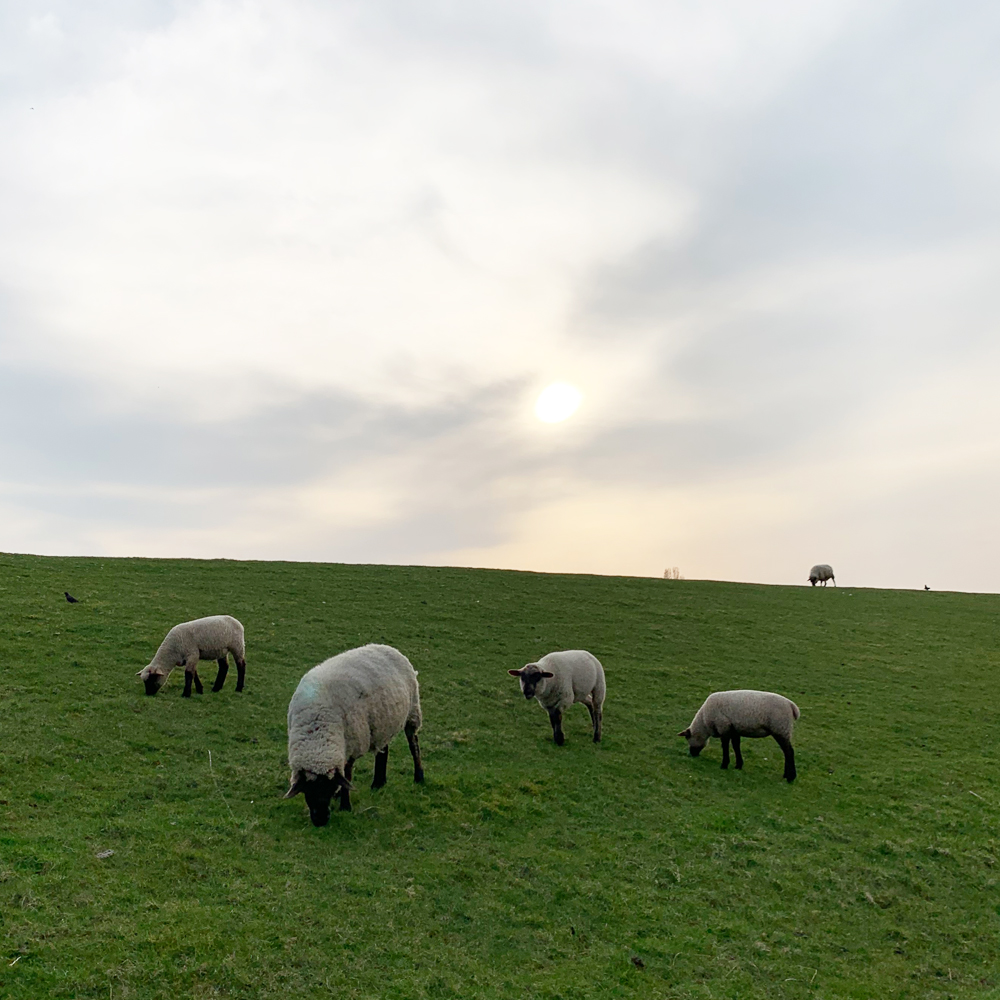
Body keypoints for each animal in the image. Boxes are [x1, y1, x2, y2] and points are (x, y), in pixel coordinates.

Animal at [284, 643, 424, 825]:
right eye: (308, 790)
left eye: (328, 788)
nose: (321, 821)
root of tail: (388, 647)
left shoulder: (351, 743)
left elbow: (347, 775)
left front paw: (345, 805)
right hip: (382, 723)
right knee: (383, 751)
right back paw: (378, 783)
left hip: (412, 712)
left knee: (414, 745)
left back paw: (419, 777)